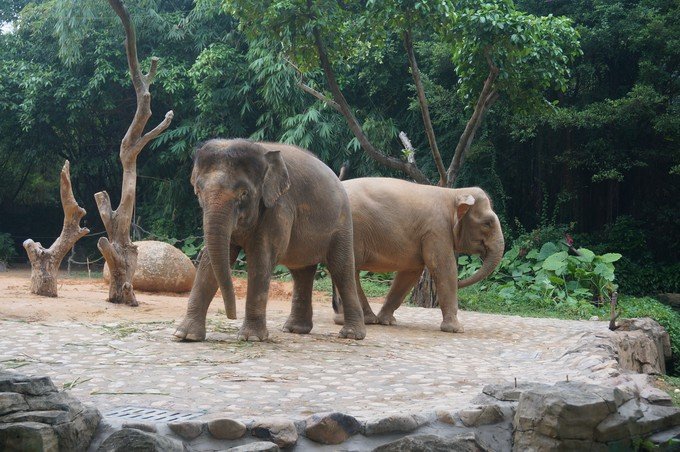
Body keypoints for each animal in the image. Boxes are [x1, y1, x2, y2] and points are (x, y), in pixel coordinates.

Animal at [175, 139, 366, 340]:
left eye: (244, 193)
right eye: (198, 191)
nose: (232, 316)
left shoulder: (278, 207)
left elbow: (261, 259)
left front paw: (250, 338)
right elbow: (210, 262)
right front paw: (185, 336)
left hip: (342, 223)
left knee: (341, 268)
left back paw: (352, 335)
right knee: (301, 272)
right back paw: (294, 329)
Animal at [332, 178, 502, 334]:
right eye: (487, 223)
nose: (461, 283)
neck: (454, 193)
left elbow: (410, 273)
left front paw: (387, 322)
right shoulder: (436, 230)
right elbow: (445, 269)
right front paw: (457, 330)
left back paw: (357, 319)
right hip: (352, 229)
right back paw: (358, 320)